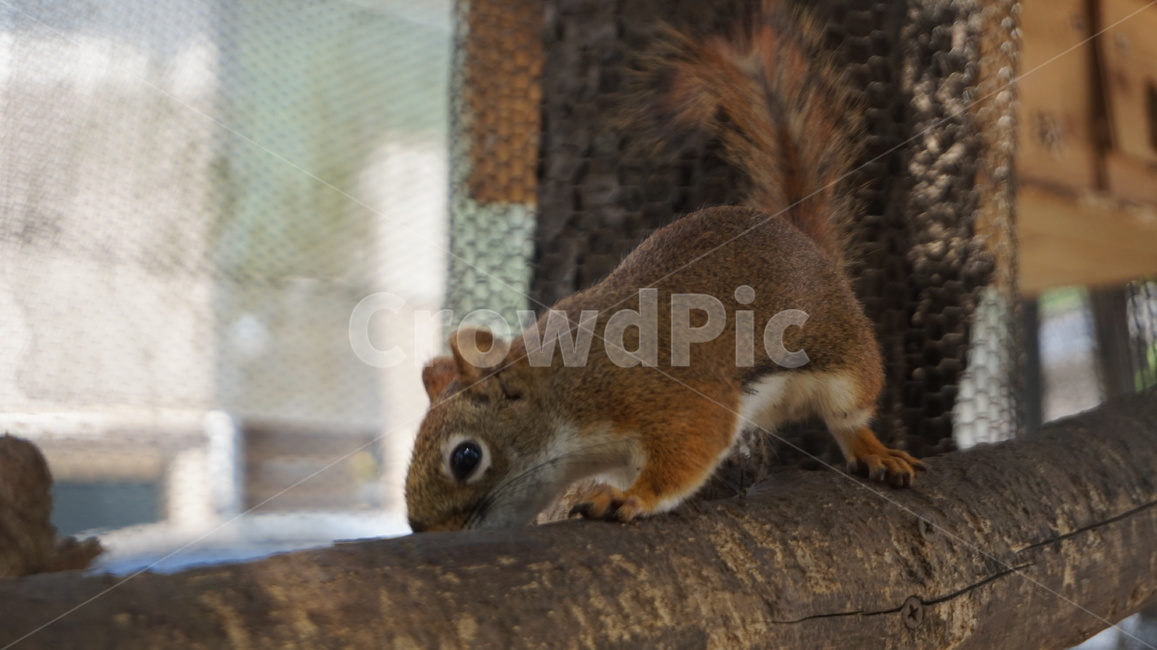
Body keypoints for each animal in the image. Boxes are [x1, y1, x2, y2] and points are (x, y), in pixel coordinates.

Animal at [405, 1, 924, 532]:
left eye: (466, 457)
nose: (425, 532)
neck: (564, 389)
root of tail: (804, 240)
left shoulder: (665, 396)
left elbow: (687, 451)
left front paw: (629, 497)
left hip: (846, 358)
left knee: (848, 416)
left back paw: (874, 451)